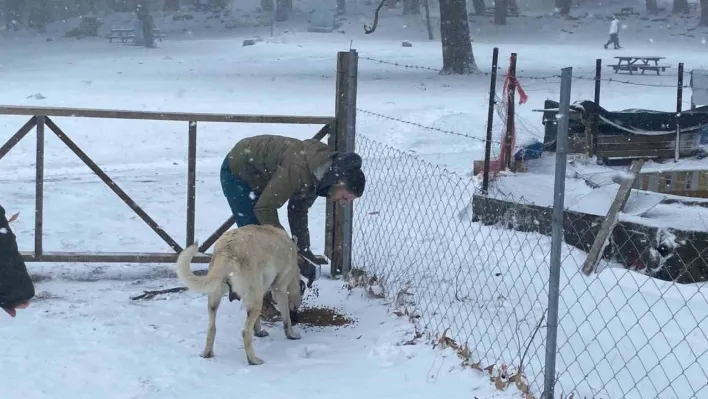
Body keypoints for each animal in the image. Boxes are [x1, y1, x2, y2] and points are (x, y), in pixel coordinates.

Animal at [176, 225, 302, 366]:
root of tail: (227, 251)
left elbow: (257, 320)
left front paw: (259, 331)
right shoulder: (279, 290)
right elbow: (287, 320)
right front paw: (291, 335)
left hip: (215, 298)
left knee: (212, 328)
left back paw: (207, 353)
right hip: (255, 300)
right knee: (245, 332)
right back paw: (253, 359)